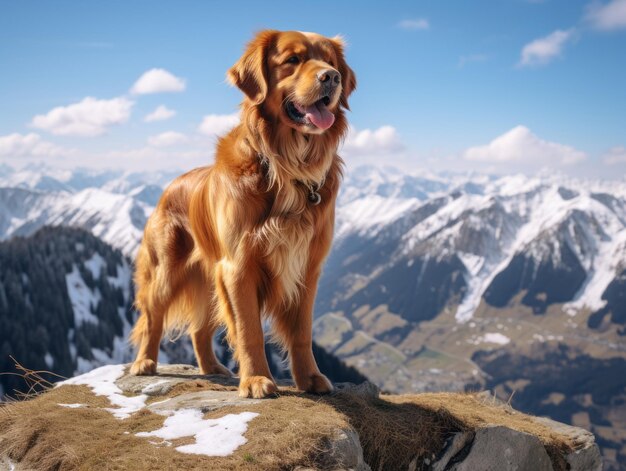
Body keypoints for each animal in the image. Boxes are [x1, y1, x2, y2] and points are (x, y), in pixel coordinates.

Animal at [130, 29, 356, 398]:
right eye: (292, 60)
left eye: (330, 62)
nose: (332, 77)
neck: (286, 166)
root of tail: (170, 185)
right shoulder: (238, 266)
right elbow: (249, 329)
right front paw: (255, 380)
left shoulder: (307, 266)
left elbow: (302, 332)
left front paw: (310, 378)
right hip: (167, 271)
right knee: (153, 317)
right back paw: (144, 362)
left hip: (208, 279)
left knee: (198, 330)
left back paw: (212, 368)